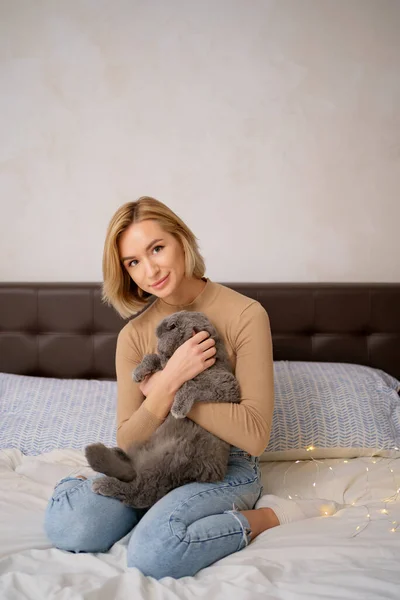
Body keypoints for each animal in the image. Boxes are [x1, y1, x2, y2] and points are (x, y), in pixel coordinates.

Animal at [84, 312, 239, 508]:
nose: (157, 334)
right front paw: (138, 372)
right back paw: (115, 455)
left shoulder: (229, 386)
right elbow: (153, 359)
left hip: (169, 462)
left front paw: (178, 408)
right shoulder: (166, 369)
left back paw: (103, 481)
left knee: (138, 490)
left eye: (171, 327)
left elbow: (190, 384)